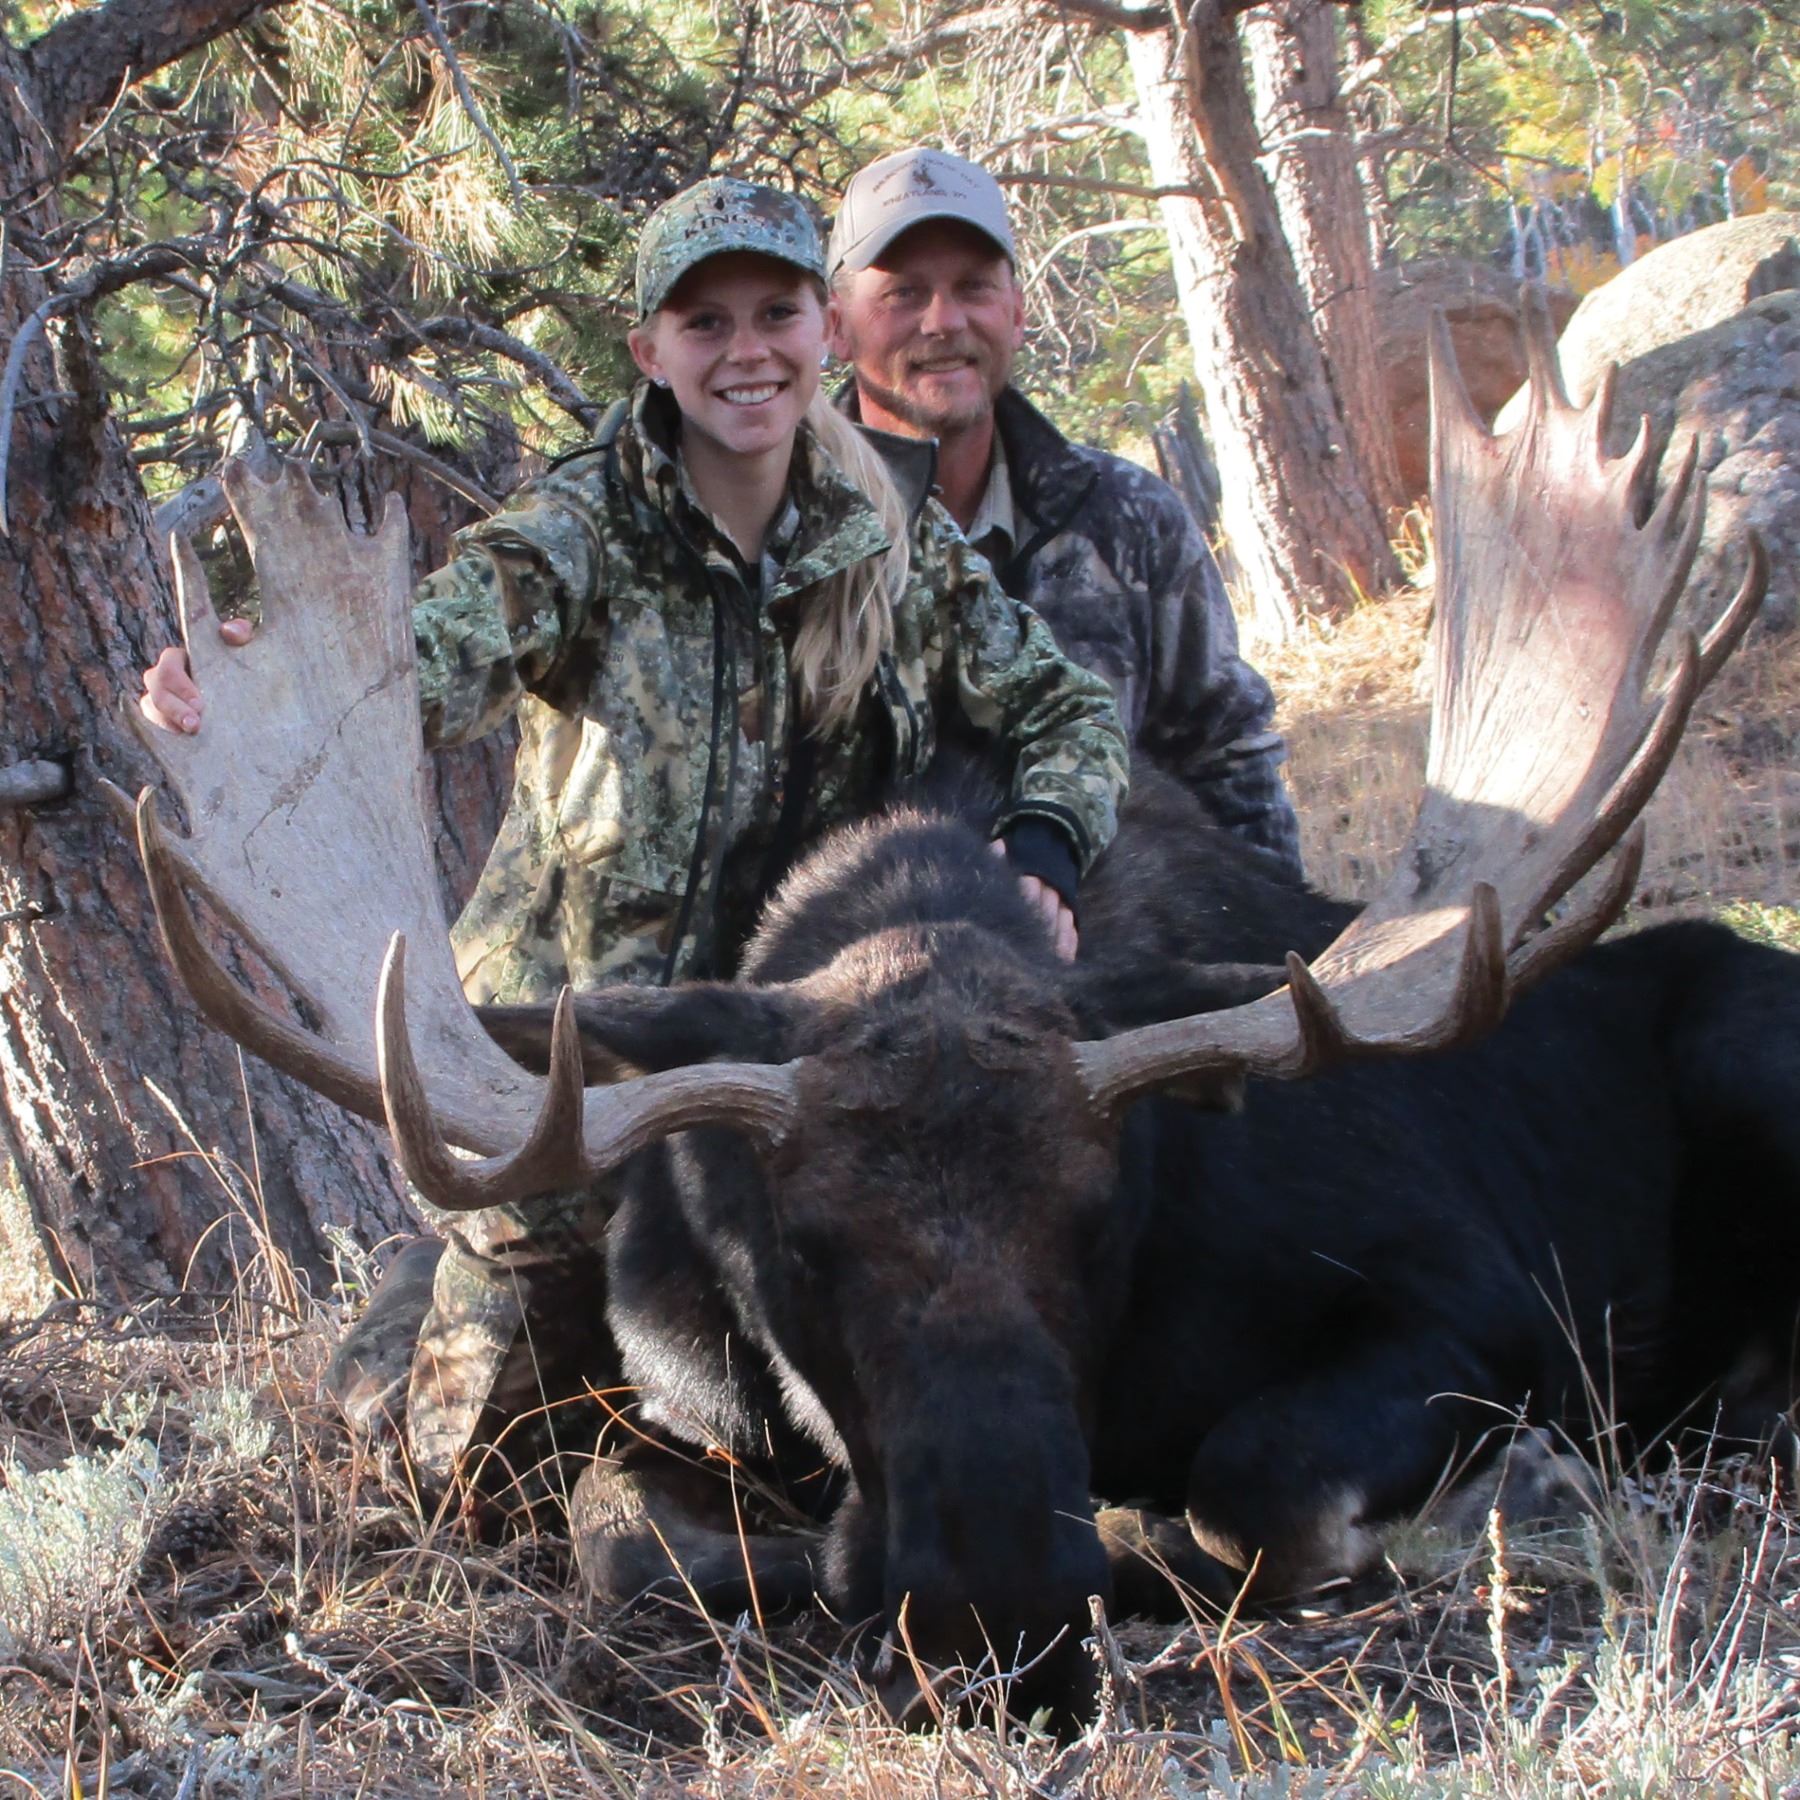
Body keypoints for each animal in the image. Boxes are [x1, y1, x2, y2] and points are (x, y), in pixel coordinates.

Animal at [121, 305, 1794, 1719]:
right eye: (796, 1251)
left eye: (1104, 1215)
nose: (999, 1602)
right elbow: (637, 1540)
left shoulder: (1476, 1288)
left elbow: (1252, 1485)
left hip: (1743, 1047)